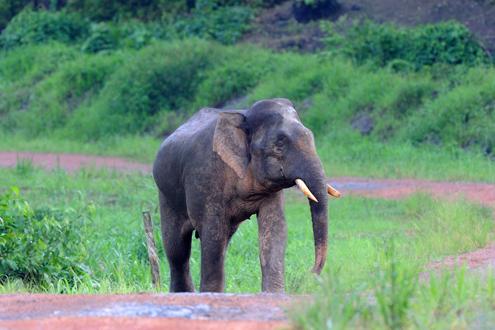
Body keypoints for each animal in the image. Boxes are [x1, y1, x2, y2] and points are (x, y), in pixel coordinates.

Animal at [154, 98, 340, 294]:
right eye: (279, 145)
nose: (308, 276)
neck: (244, 117)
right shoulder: (207, 179)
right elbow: (213, 233)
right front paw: (212, 293)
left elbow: (275, 229)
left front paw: (273, 294)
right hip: (167, 196)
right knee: (177, 249)